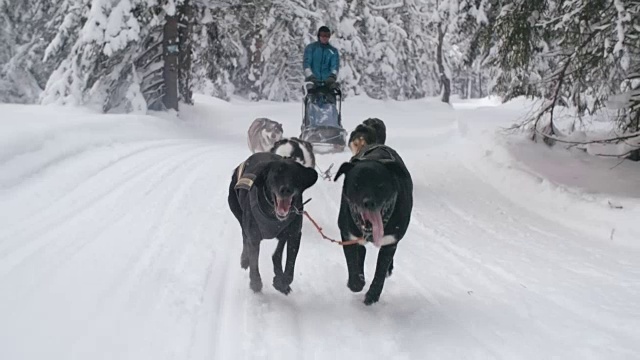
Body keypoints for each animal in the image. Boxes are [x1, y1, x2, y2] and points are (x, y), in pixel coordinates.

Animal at [230, 152, 320, 296]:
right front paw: (255, 282)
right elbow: (254, 259)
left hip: (284, 233)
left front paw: (281, 283)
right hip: (238, 212)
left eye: (296, 175)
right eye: (275, 175)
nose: (286, 189)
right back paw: (244, 259)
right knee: (244, 237)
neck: (272, 215)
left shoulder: (295, 235)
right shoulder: (254, 237)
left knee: (277, 252)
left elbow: (290, 265)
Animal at [332, 143, 412, 304]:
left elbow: (380, 271)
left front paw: (373, 295)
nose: (368, 202)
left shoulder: (390, 241)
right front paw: (356, 283)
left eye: (380, 185)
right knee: (361, 252)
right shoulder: (348, 235)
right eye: (356, 184)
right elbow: (352, 262)